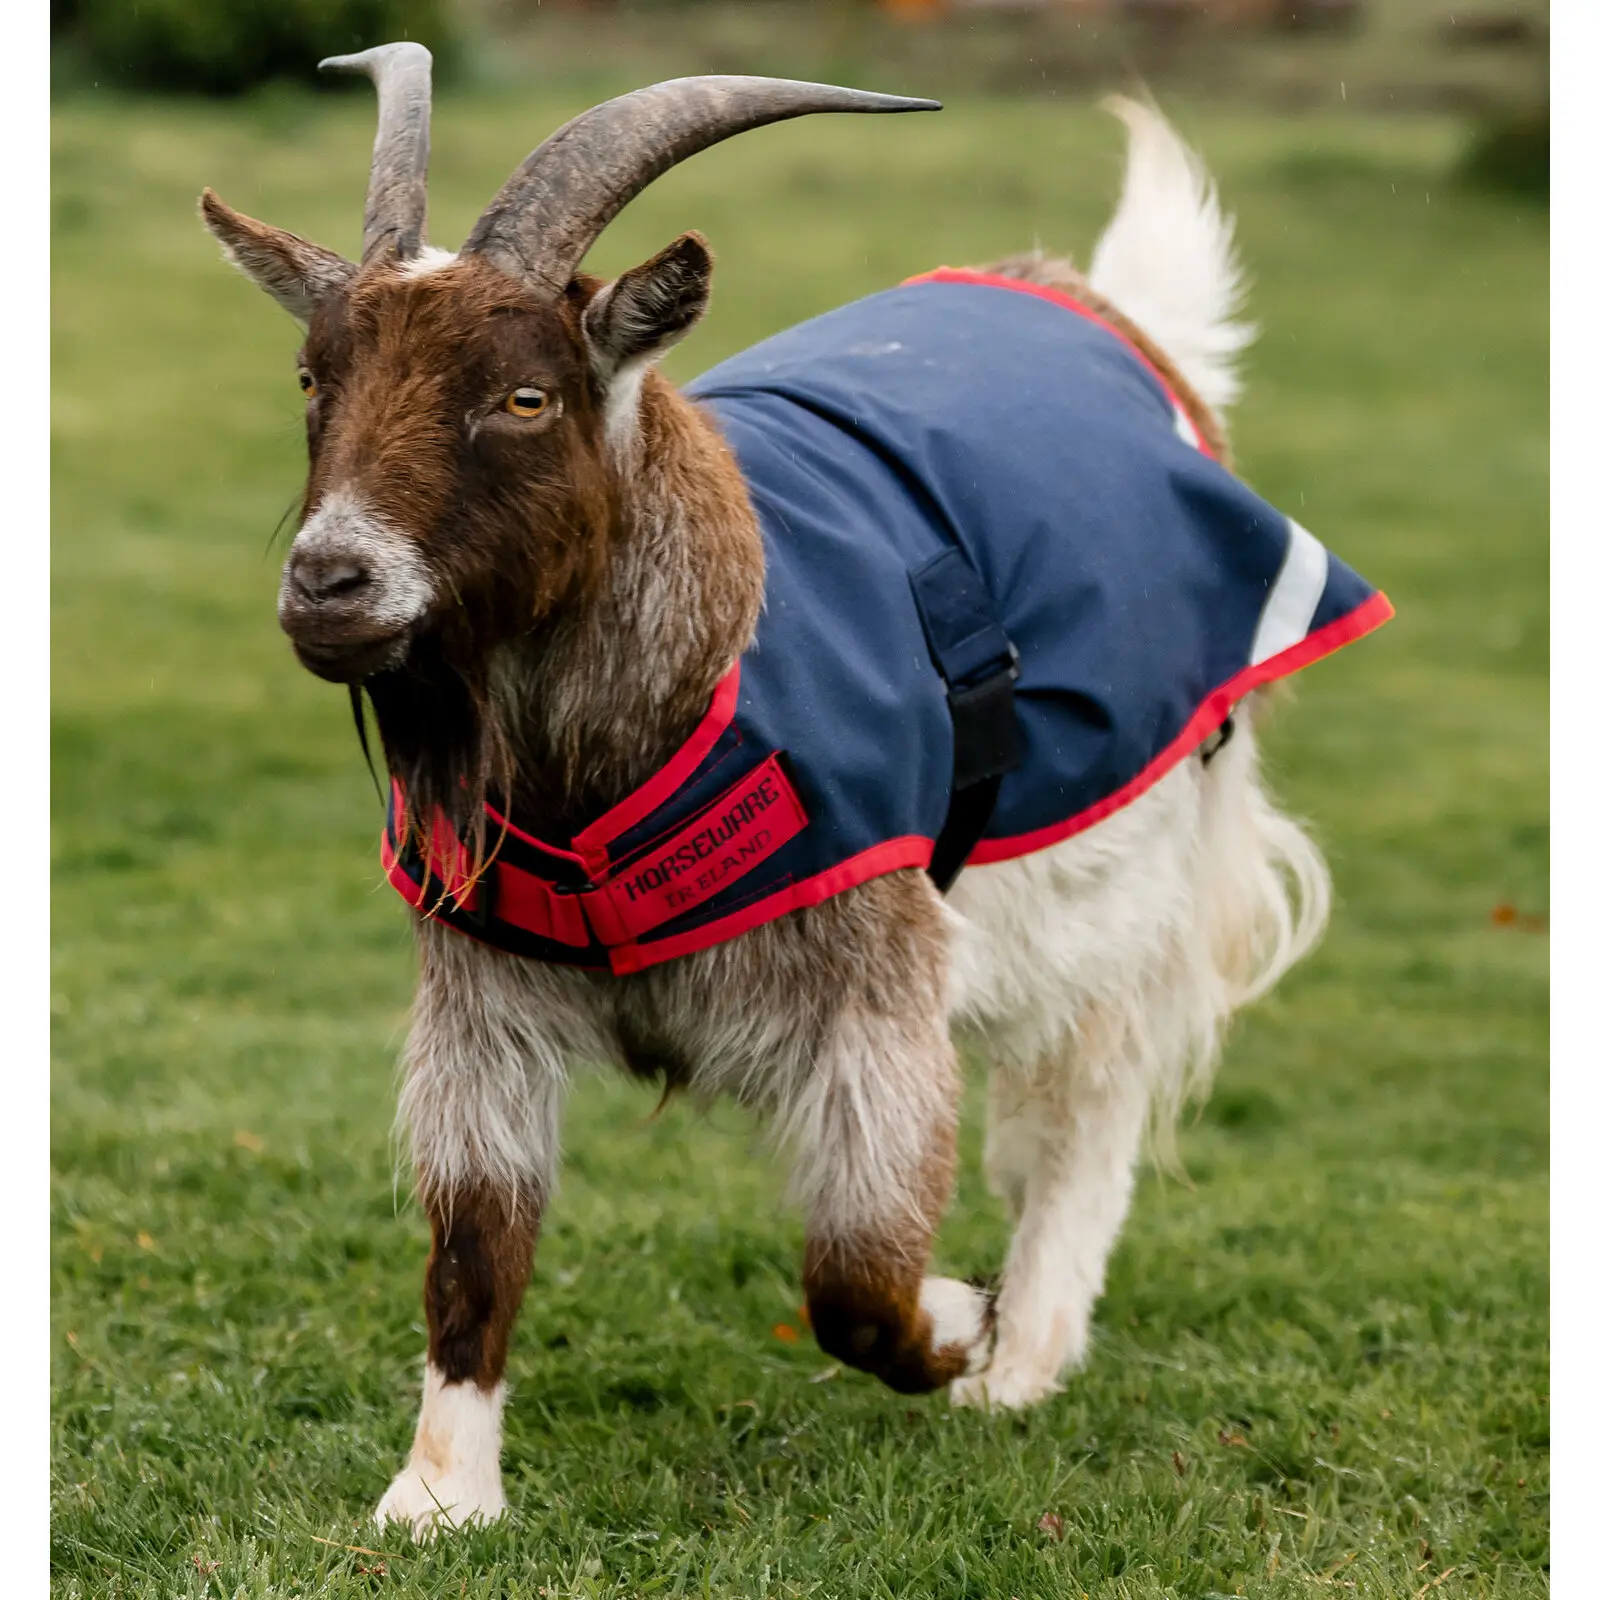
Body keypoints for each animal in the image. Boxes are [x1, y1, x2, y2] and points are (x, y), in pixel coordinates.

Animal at [201, 44, 1391, 1537]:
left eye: (525, 397)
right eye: (314, 376)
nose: (330, 582)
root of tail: (1118, 319)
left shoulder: (875, 974)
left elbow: (857, 1271)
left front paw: (960, 1326)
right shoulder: (482, 996)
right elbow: (476, 1238)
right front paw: (438, 1493)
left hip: (1135, 848)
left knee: (1090, 1095)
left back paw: (1028, 1352)